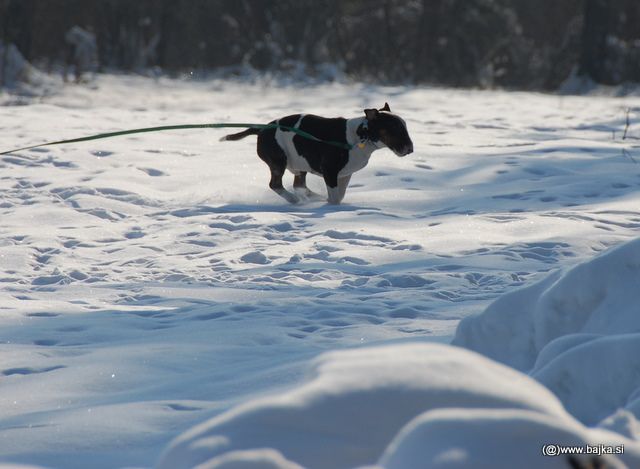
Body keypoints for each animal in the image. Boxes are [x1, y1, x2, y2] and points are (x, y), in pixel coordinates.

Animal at [220, 102, 412, 203]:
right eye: (394, 129)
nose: (410, 149)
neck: (362, 134)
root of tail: (261, 129)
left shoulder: (344, 174)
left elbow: (339, 195)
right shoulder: (330, 170)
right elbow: (334, 197)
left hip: (300, 163)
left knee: (299, 185)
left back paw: (312, 198)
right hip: (278, 161)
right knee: (275, 184)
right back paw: (295, 200)